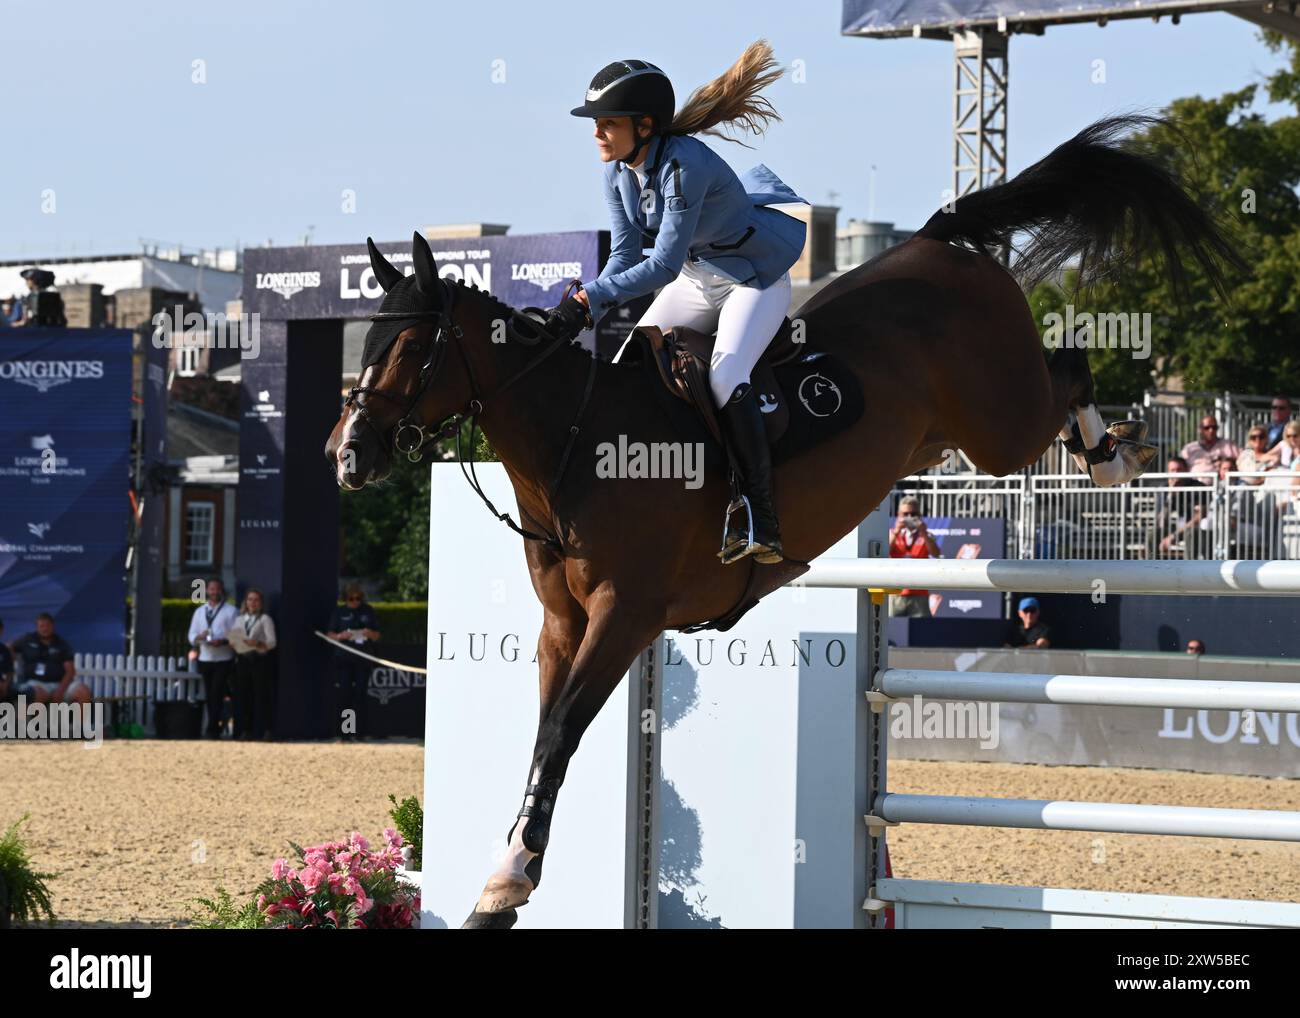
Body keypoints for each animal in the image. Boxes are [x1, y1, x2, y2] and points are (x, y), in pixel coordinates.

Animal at [322, 115, 1227, 925]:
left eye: (411, 349)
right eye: (368, 341)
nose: (346, 456)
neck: (577, 443)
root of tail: (937, 243)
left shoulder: (625, 614)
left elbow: (563, 732)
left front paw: (507, 883)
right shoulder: (562, 623)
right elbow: (546, 733)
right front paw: (504, 873)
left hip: (999, 426)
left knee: (1068, 368)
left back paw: (1114, 458)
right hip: (950, 433)